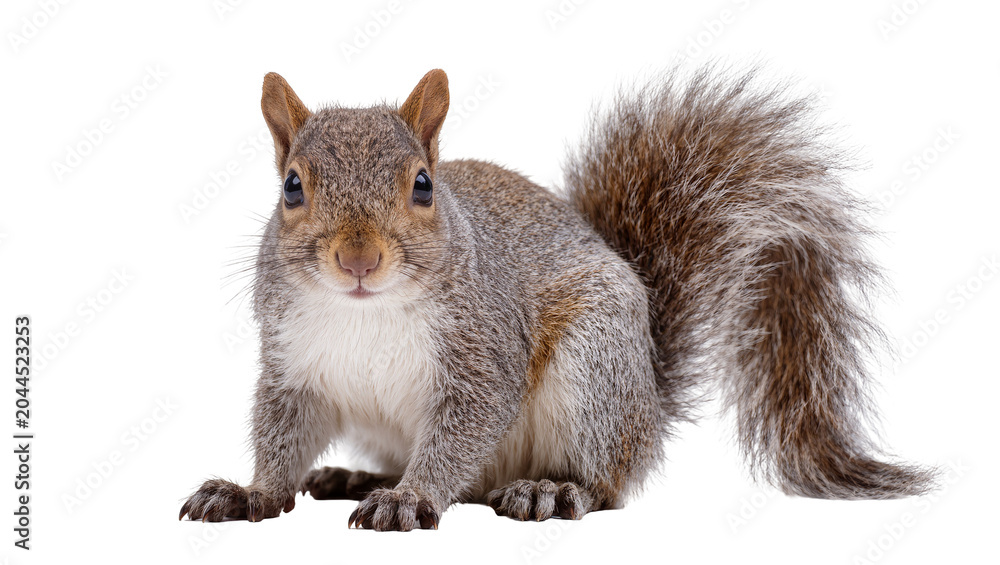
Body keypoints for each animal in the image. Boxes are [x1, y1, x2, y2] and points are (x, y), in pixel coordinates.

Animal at [179, 66, 935, 530]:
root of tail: (647, 399)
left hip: (593, 369)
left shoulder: (482, 350)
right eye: (292, 187)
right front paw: (251, 491)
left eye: (423, 185)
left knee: (606, 481)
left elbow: (461, 430)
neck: (366, 312)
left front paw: (412, 498)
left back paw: (552, 487)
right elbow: (281, 432)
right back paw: (356, 476)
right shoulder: (293, 364)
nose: (358, 258)